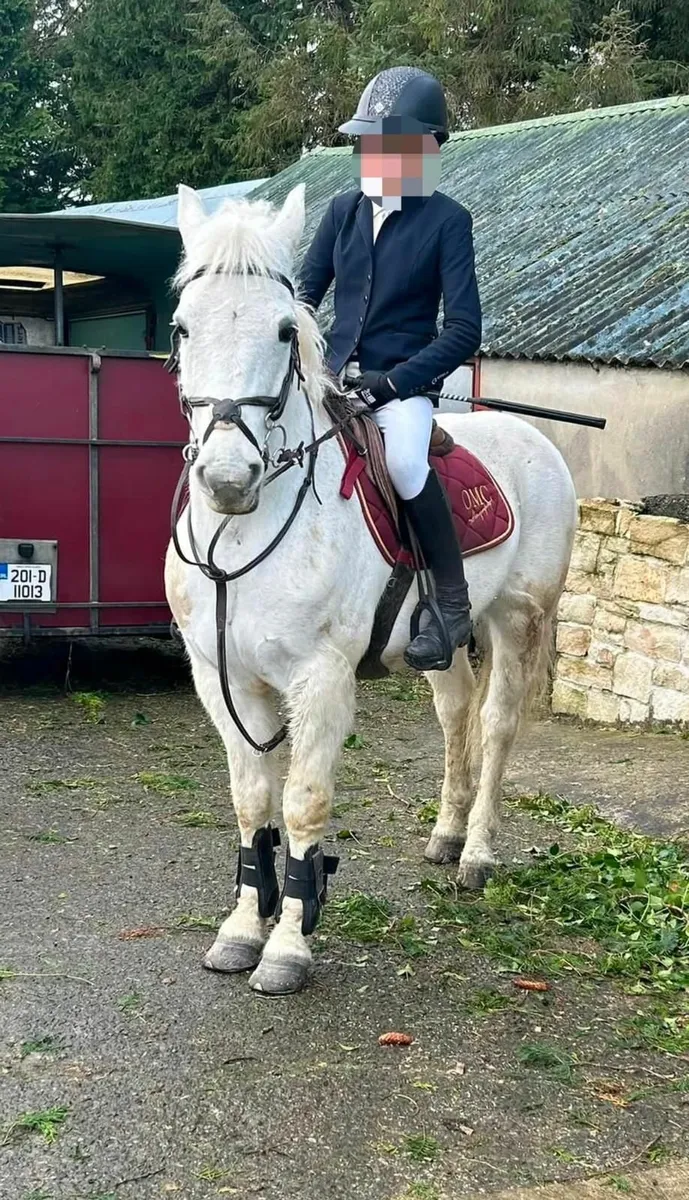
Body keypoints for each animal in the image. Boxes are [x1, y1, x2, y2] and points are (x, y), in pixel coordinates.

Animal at [164, 182, 577, 996]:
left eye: (285, 331)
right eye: (183, 327)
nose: (228, 479)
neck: (247, 535)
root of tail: (533, 438)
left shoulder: (319, 678)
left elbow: (303, 802)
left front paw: (287, 948)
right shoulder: (220, 676)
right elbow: (250, 800)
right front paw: (240, 930)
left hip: (520, 621)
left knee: (496, 726)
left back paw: (476, 855)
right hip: (443, 640)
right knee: (455, 715)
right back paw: (445, 835)